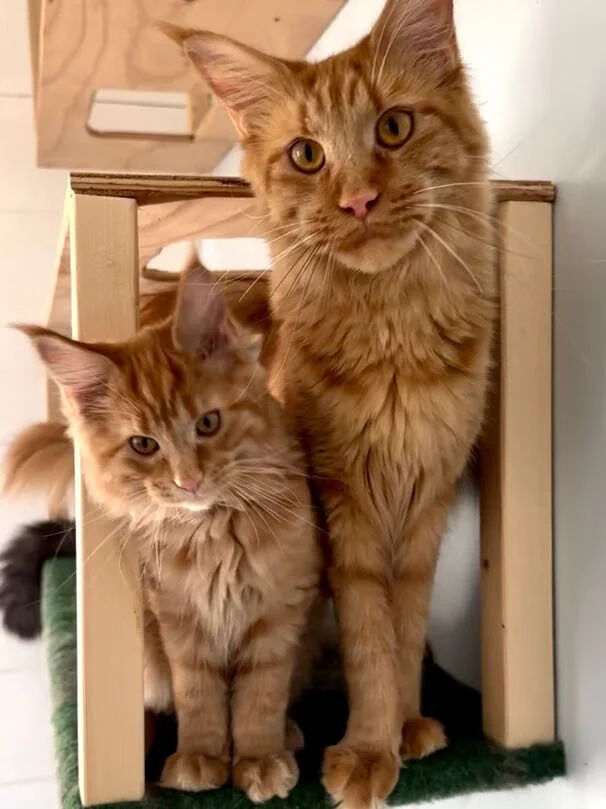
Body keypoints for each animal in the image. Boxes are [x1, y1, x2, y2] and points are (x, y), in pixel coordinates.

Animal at [165, 0, 494, 804]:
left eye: (394, 127)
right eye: (307, 155)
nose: (359, 200)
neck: (394, 336)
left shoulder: (428, 497)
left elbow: (405, 630)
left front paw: (405, 727)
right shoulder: (346, 503)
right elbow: (372, 639)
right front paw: (370, 748)